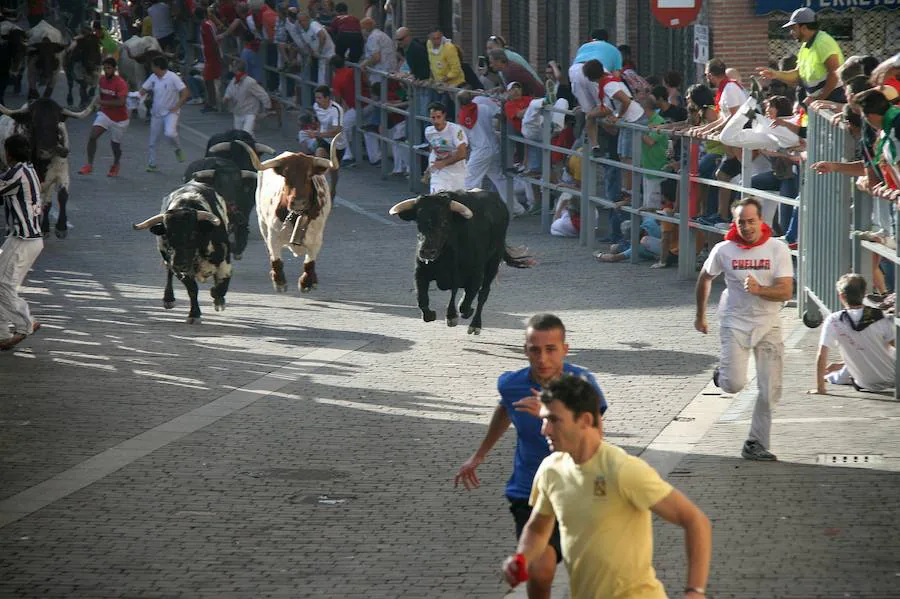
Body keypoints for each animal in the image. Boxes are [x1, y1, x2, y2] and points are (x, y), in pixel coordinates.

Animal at [0, 98, 95, 237]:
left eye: (56, 123)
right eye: (33, 123)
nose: (47, 151)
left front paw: (61, 227)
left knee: (46, 202)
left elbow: (62, 196)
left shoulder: (61, 173)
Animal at [133, 180, 234, 326]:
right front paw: (194, 314)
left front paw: (218, 300)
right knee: (169, 273)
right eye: (167, 235)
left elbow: (222, 284)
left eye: (193, 234)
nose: (180, 263)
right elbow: (192, 289)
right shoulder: (178, 267)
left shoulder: (225, 261)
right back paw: (168, 299)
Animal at [246, 137, 342, 296]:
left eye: (309, 174)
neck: (297, 216)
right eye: (285, 175)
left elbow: (309, 263)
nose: (298, 202)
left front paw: (306, 283)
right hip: (262, 222)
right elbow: (276, 260)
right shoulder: (273, 236)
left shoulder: (316, 238)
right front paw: (279, 282)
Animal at [390, 190, 532, 336]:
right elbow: (422, 299)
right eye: (419, 222)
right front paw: (432, 314)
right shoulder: (420, 273)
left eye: (445, 222)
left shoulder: (475, 275)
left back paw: (475, 325)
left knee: (483, 294)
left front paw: (455, 315)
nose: (427, 252)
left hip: (493, 263)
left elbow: (464, 303)